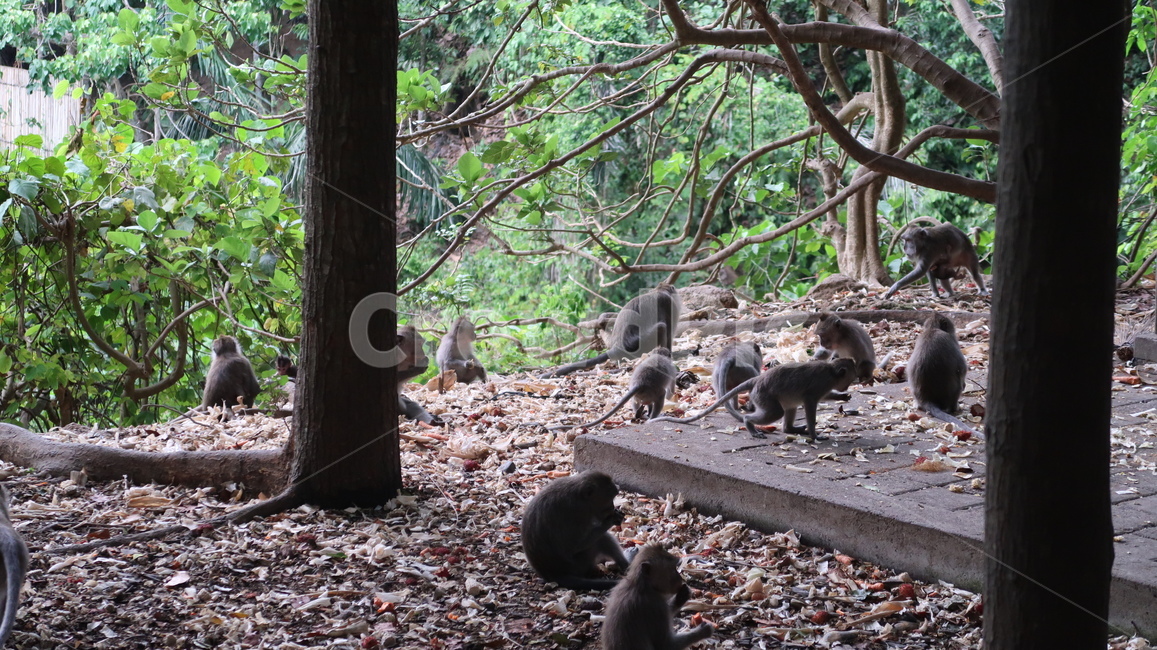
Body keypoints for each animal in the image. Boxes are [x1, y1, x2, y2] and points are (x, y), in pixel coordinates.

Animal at [549, 348, 678, 430]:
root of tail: (640, 383)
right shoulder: (672, 369)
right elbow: (671, 387)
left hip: (641, 395)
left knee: (641, 402)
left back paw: (640, 414)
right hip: (653, 392)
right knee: (661, 395)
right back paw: (653, 417)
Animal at [652, 359, 857, 441]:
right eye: (851, 377)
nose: (848, 386)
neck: (831, 372)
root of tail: (758, 380)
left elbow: (825, 395)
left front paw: (842, 396)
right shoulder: (819, 385)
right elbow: (809, 402)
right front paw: (815, 435)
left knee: (789, 407)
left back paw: (790, 429)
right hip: (763, 395)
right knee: (776, 412)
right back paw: (749, 424)